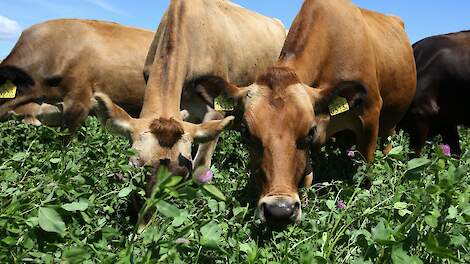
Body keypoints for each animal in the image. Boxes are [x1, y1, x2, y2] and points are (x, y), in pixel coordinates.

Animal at [217, 0, 414, 226]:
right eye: (245, 132)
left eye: (309, 131)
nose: (279, 211)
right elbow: (308, 176)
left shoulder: (369, 116)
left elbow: (366, 168)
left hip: (391, 120)